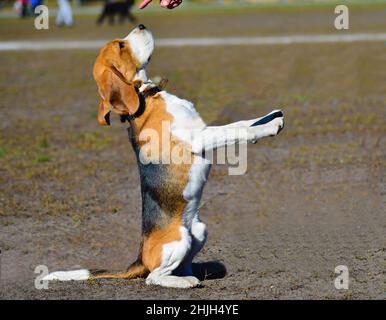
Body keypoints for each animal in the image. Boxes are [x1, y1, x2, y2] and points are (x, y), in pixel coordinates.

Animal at [44, 25, 284, 288]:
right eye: (121, 45)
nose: (141, 25)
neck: (146, 95)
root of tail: (139, 259)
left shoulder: (203, 131)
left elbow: (239, 123)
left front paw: (271, 115)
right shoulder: (199, 137)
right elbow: (236, 130)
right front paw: (269, 127)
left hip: (199, 232)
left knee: (180, 266)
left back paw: (192, 274)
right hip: (179, 241)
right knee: (153, 277)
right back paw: (185, 281)